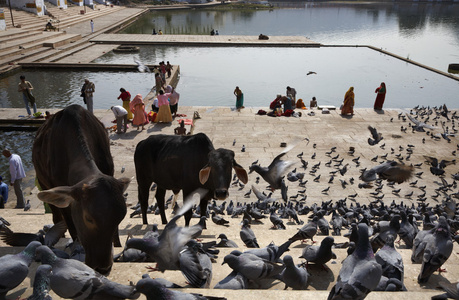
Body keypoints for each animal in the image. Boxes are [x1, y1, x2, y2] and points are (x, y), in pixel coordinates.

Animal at [32, 105, 130, 274]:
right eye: (88, 218)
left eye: (120, 218)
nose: (102, 267)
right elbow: (72, 227)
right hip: (43, 182)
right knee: (55, 215)